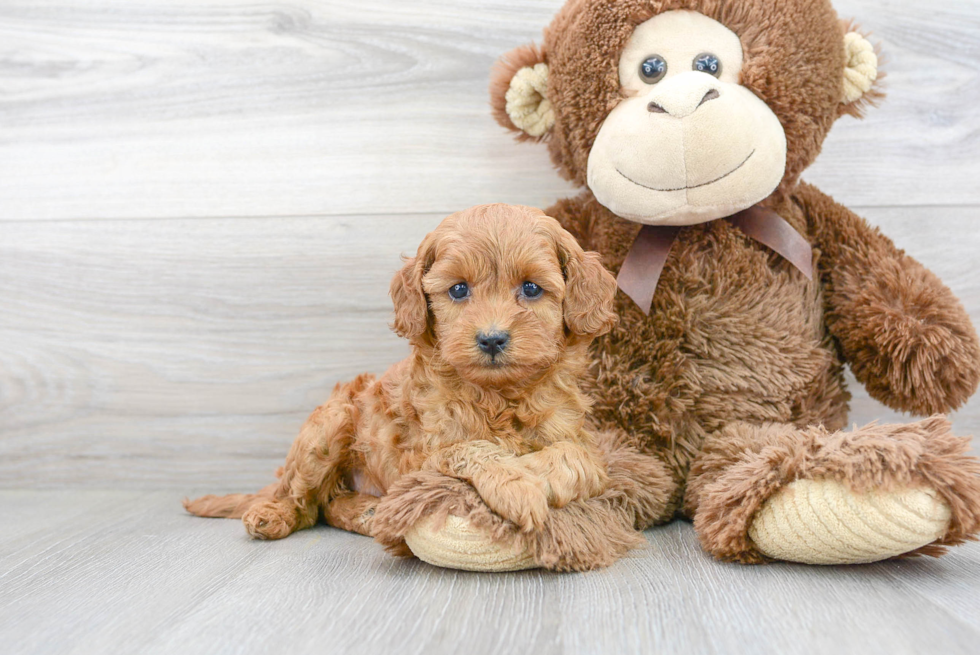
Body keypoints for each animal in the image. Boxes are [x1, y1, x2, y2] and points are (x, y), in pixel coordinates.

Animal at [185, 204, 616, 544]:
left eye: (530, 288)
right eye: (458, 290)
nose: (492, 339)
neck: (496, 395)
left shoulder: (576, 436)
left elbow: (576, 457)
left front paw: (528, 475)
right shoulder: (420, 458)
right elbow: (469, 448)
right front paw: (516, 485)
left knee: (330, 503)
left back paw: (370, 513)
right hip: (328, 425)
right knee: (306, 504)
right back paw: (275, 514)